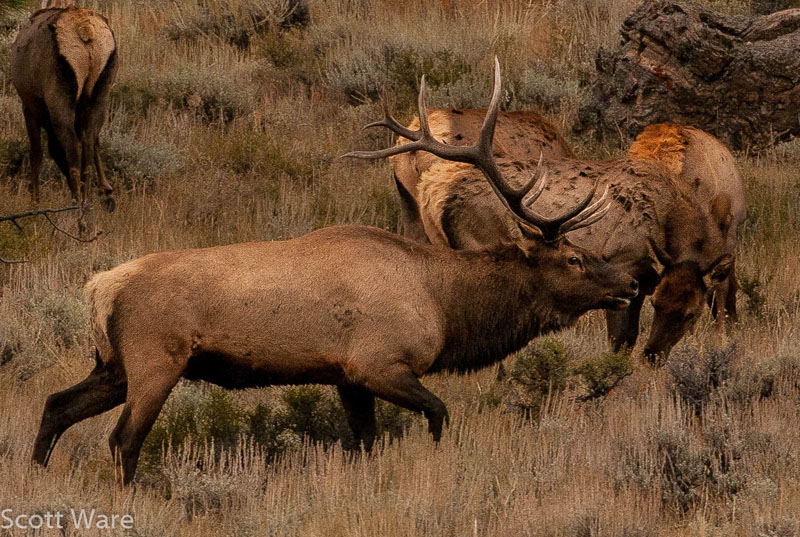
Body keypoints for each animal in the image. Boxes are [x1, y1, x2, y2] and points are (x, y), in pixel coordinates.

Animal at [11, 5, 118, 212]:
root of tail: (85, 30)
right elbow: (96, 142)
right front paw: (106, 190)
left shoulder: (29, 107)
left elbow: (36, 153)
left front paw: (35, 202)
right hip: (101, 92)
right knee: (88, 144)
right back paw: (86, 201)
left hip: (59, 91)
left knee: (73, 147)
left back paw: (76, 204)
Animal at [31, 60, 638, 485]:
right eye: (574, 258)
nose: (630, 284)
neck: (446, 309)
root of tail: (99, 288)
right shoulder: (379, 362)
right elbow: (438, 415)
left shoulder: (346, 376)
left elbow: (366, 443)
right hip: (156, 358)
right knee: (122, 440)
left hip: (114, 363)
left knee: (56, 405)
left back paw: (35, 474)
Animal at [374, 77, 742, 362]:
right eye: (659, 304)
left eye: (691, 312)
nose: (654, 356)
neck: (673, 221)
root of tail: (435, 191)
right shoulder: (627, 267)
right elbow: (620, 342)